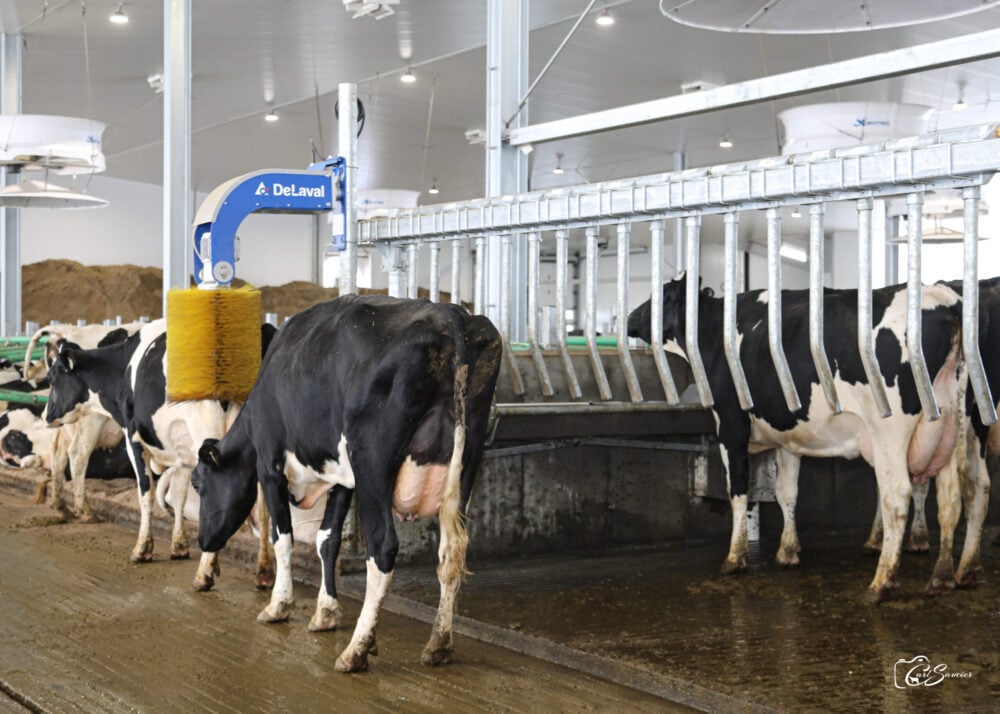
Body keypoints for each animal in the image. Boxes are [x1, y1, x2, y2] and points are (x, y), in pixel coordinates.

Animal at [191, 295, 502, 672]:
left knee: (383, 548)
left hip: (373, 461)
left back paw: (356, 649)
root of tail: (452, 316)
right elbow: (328, 539)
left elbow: (283, 538)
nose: (202, 539)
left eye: (197, 484)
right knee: (452, 551)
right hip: (468, 459)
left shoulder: (270, 465)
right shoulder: (342, 477)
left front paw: (278, 605)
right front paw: (325, 612)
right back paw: (439, 645)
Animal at [627, 274, 966, 603]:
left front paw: (734, 557)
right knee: (950, 498)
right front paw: (788, 551)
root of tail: (943, 299)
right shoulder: (787, 439)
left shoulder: (731, 427)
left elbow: (738, 490)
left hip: (889, 431)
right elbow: (787, 492)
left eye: (659, 295)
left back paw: (881, 583)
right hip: (954, 427)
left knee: (897, 496)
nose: (629, 316)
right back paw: (942, 577)